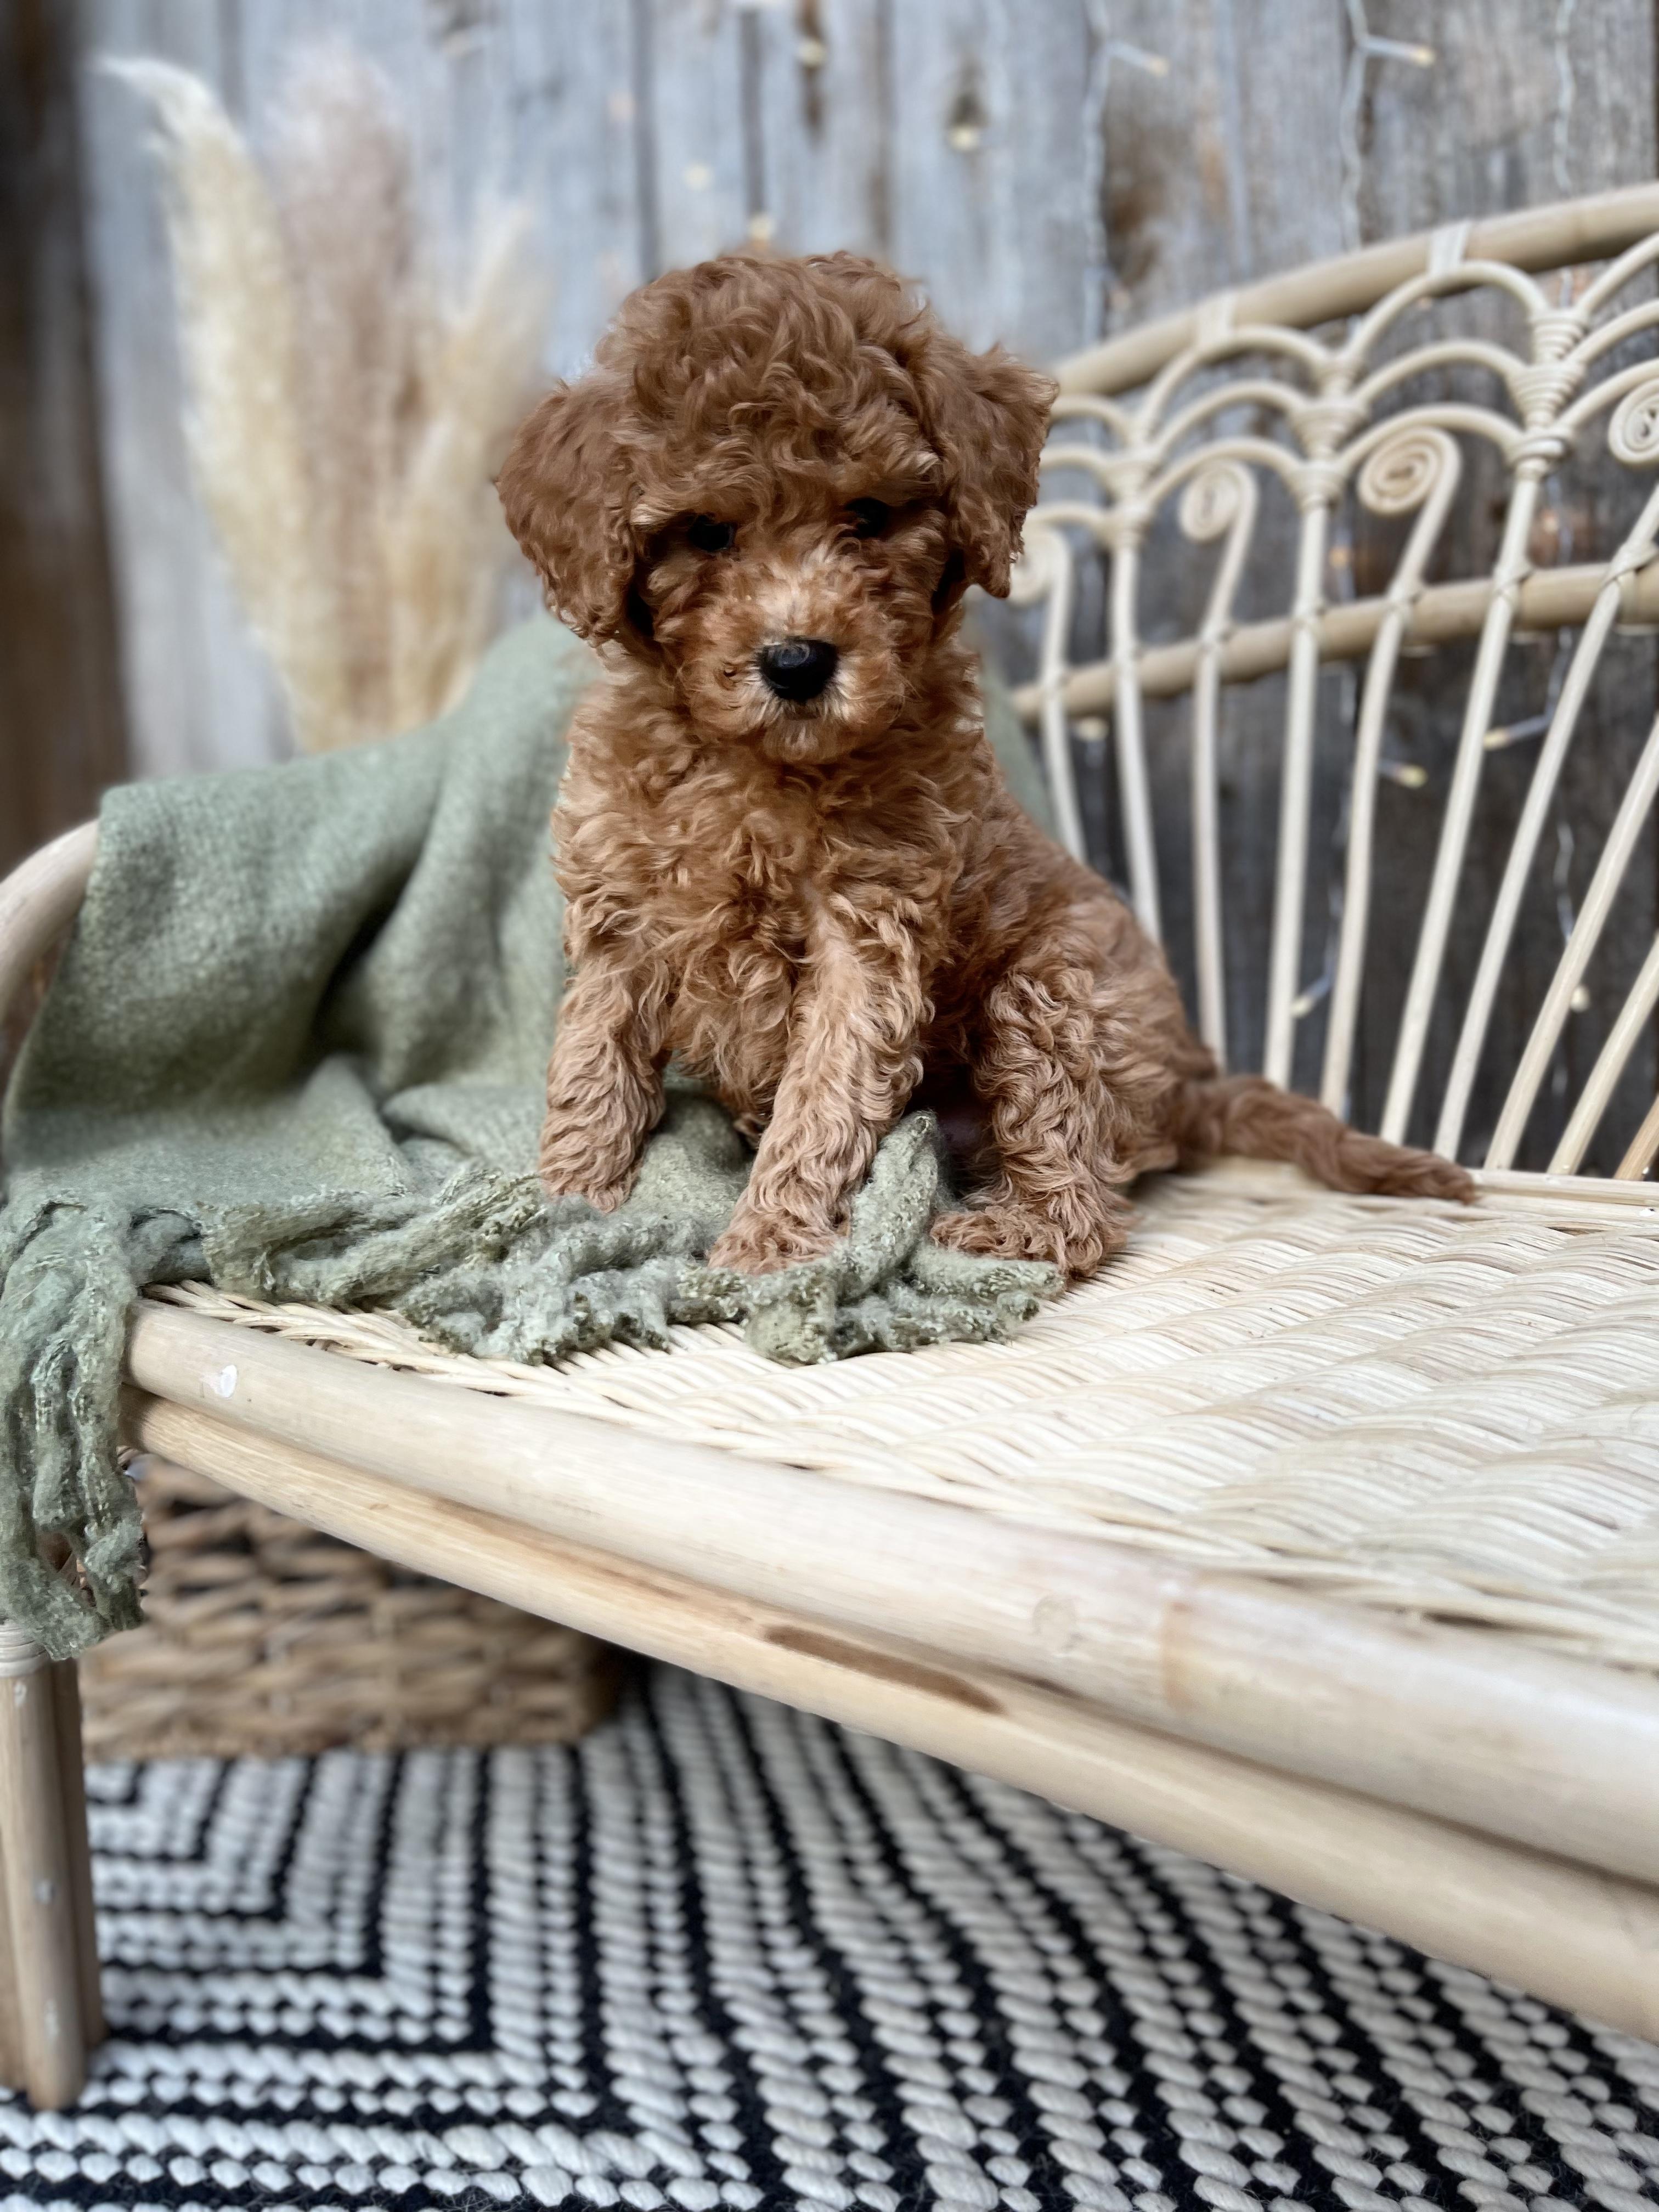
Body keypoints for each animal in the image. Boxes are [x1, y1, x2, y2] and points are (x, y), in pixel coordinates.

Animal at [497, 250, 1470, 1279]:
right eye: (707, 533)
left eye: (868, 515)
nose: (798, 661)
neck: (756, 765)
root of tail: (1189, 1082)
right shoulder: (622, 915)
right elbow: (593, 1064)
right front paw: (559, 1204)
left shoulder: (865, 929)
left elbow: (824, 1092)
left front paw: (768, 1244)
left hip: (1057, 989)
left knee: (1080, 1192)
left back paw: (1015, 1226)